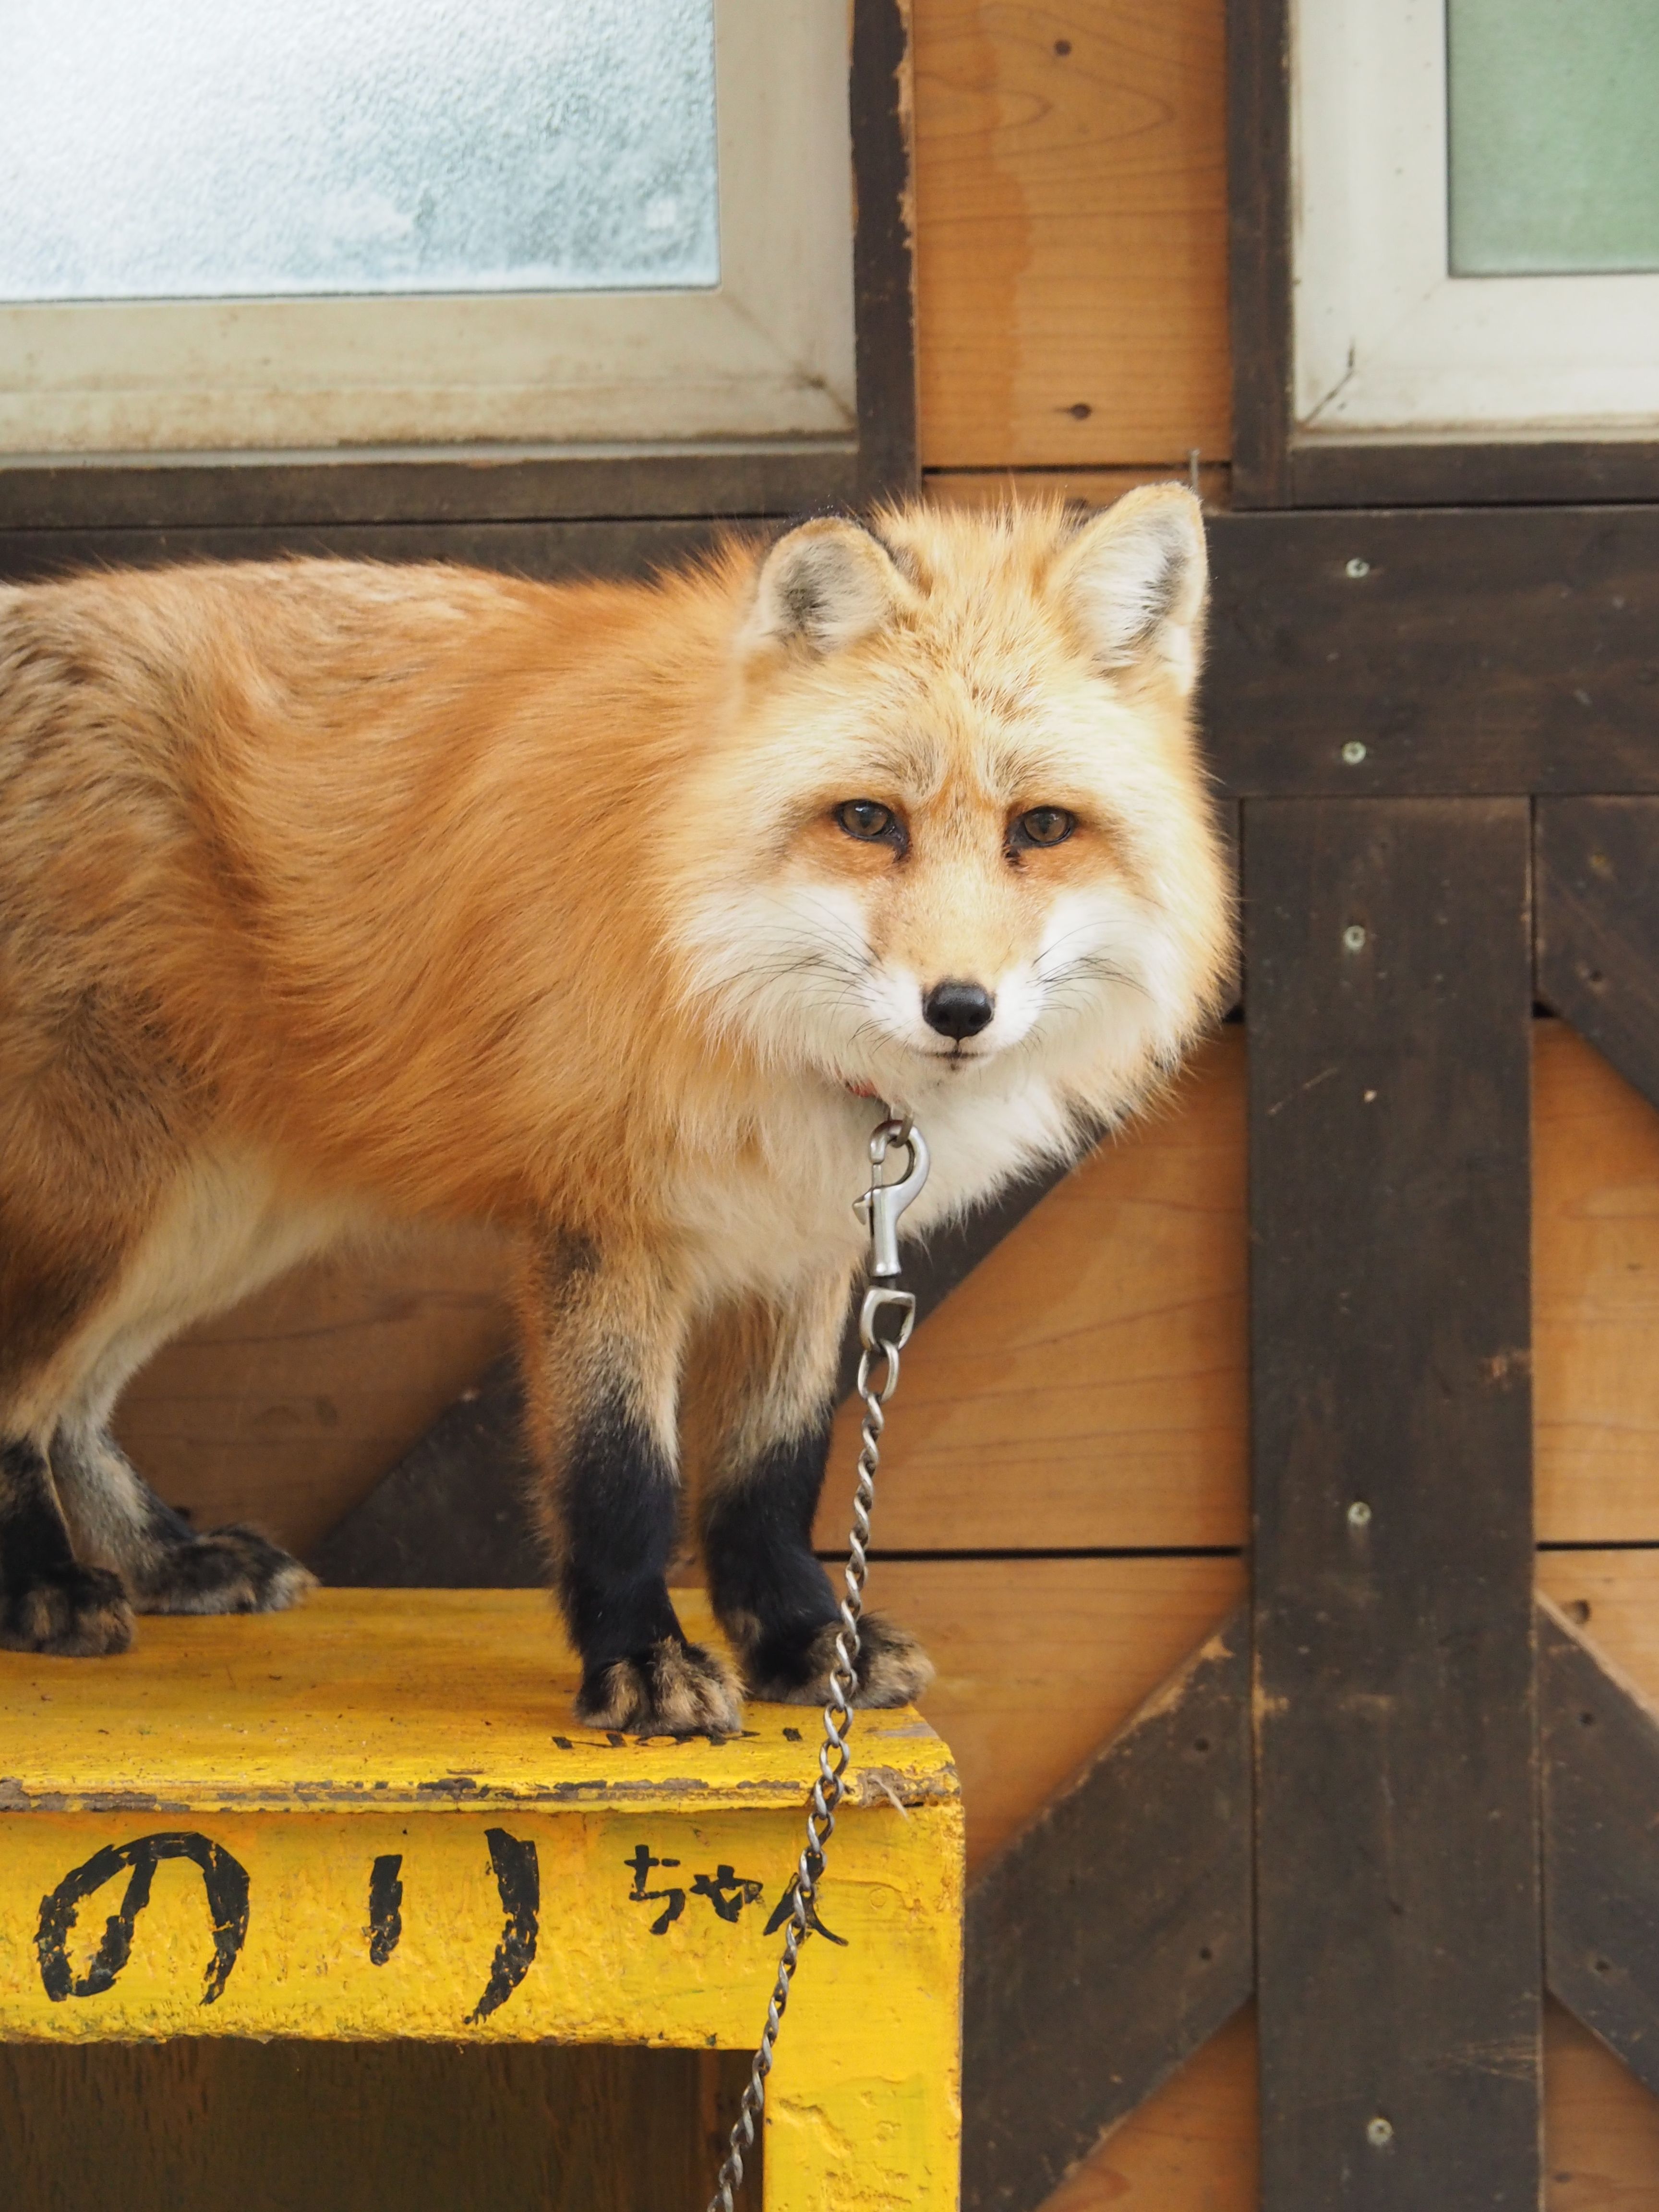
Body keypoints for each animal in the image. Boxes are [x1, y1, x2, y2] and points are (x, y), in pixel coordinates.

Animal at [0, 493, 1238, 1734]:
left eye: (1042, 828)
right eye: (866, 819)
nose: (960, 1009)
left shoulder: (804, 1239)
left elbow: (768, 1471)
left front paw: (799, 1643)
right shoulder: (604, 1221)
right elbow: (621, 1476)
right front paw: (641, 1663)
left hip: (210, 1219)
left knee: (74, 1403)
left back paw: (160, 1560)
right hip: (113, 1207)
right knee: (27, 1396)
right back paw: (48, 1588)